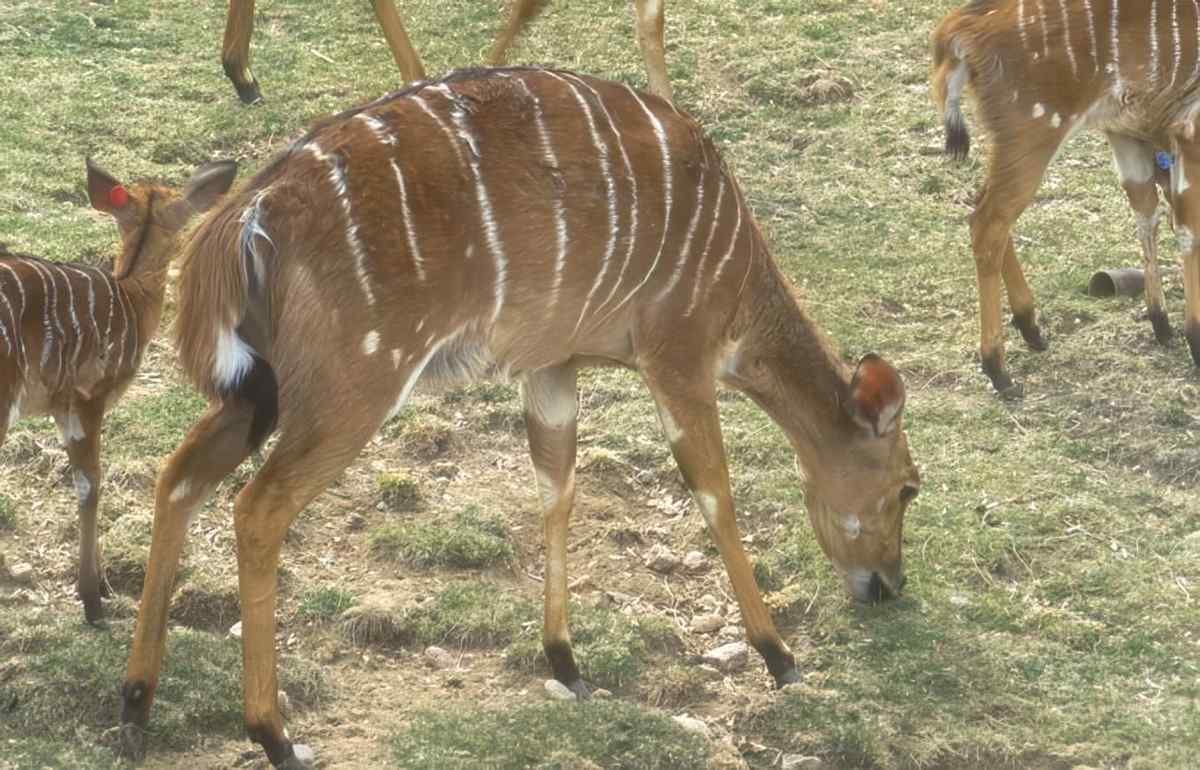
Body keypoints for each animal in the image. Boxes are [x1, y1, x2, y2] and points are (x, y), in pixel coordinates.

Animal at [117, 66, 920, 768]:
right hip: (352, 386)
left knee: (178, 478)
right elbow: (713, 491)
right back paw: (273, 733)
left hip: (257, 393)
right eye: (909, 486)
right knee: (257, 508)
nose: (889, 585)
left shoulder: (553, 364)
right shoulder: (678, 356)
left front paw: (565, 660)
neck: (736, 276)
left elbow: (556, 487)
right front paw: (778, 654)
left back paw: (136, 702)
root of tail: (246, 217)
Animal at [932, 0, 1200, 395]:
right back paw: (998, 369)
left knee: (985, 211)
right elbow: (1187, 231)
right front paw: (1192, 338)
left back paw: (1030, 327)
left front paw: (1161, 323)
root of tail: (961, 28)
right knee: (988, 223)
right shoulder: (1187, 136)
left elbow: (1147, 216)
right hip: (1034, 132)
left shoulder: (1132, 136)